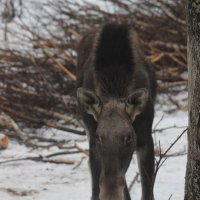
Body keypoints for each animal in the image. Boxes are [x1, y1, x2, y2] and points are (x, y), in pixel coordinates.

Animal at [76, 23, 156, 200]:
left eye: (129, 137)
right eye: (99, 137)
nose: (110, 193)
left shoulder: (145, 137)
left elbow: (147, 190)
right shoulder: (93, 139)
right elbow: (96, 186)